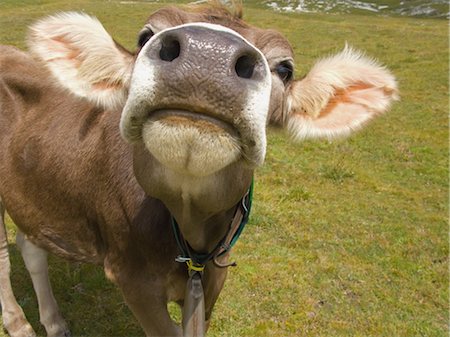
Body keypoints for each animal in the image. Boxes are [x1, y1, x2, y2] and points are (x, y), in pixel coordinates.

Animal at [0, 2, 398, 336]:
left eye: (285, 69)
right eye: (145, 36)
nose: (207, 55)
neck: (191, 232)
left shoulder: (216, 275)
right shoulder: (134, 279)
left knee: (30, 245)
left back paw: (54, 323)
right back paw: (20, 324)